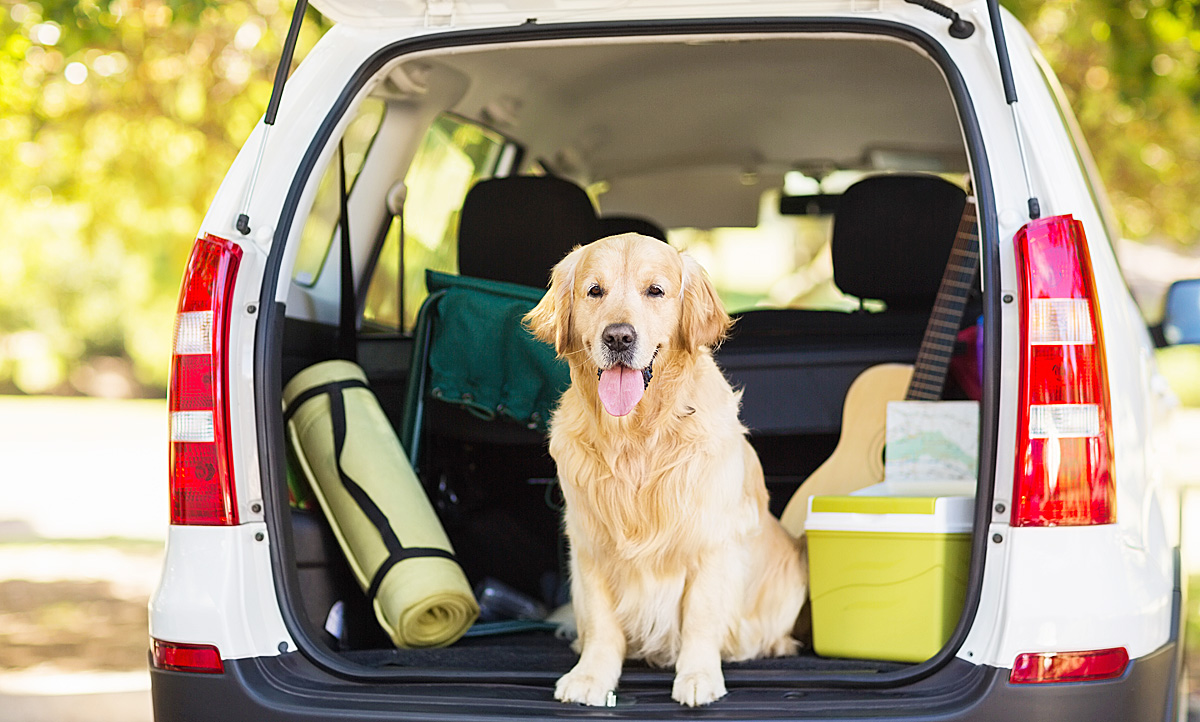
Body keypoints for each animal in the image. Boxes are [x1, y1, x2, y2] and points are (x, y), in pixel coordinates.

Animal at [525, 233, 806, 705]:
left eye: (655, 291)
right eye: (594, 290)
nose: (618, 337)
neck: (637, 437)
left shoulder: (711, 541)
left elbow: (701, 617)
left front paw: (698, 676)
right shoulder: (589, 542)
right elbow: (601, 622)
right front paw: (591, 676)